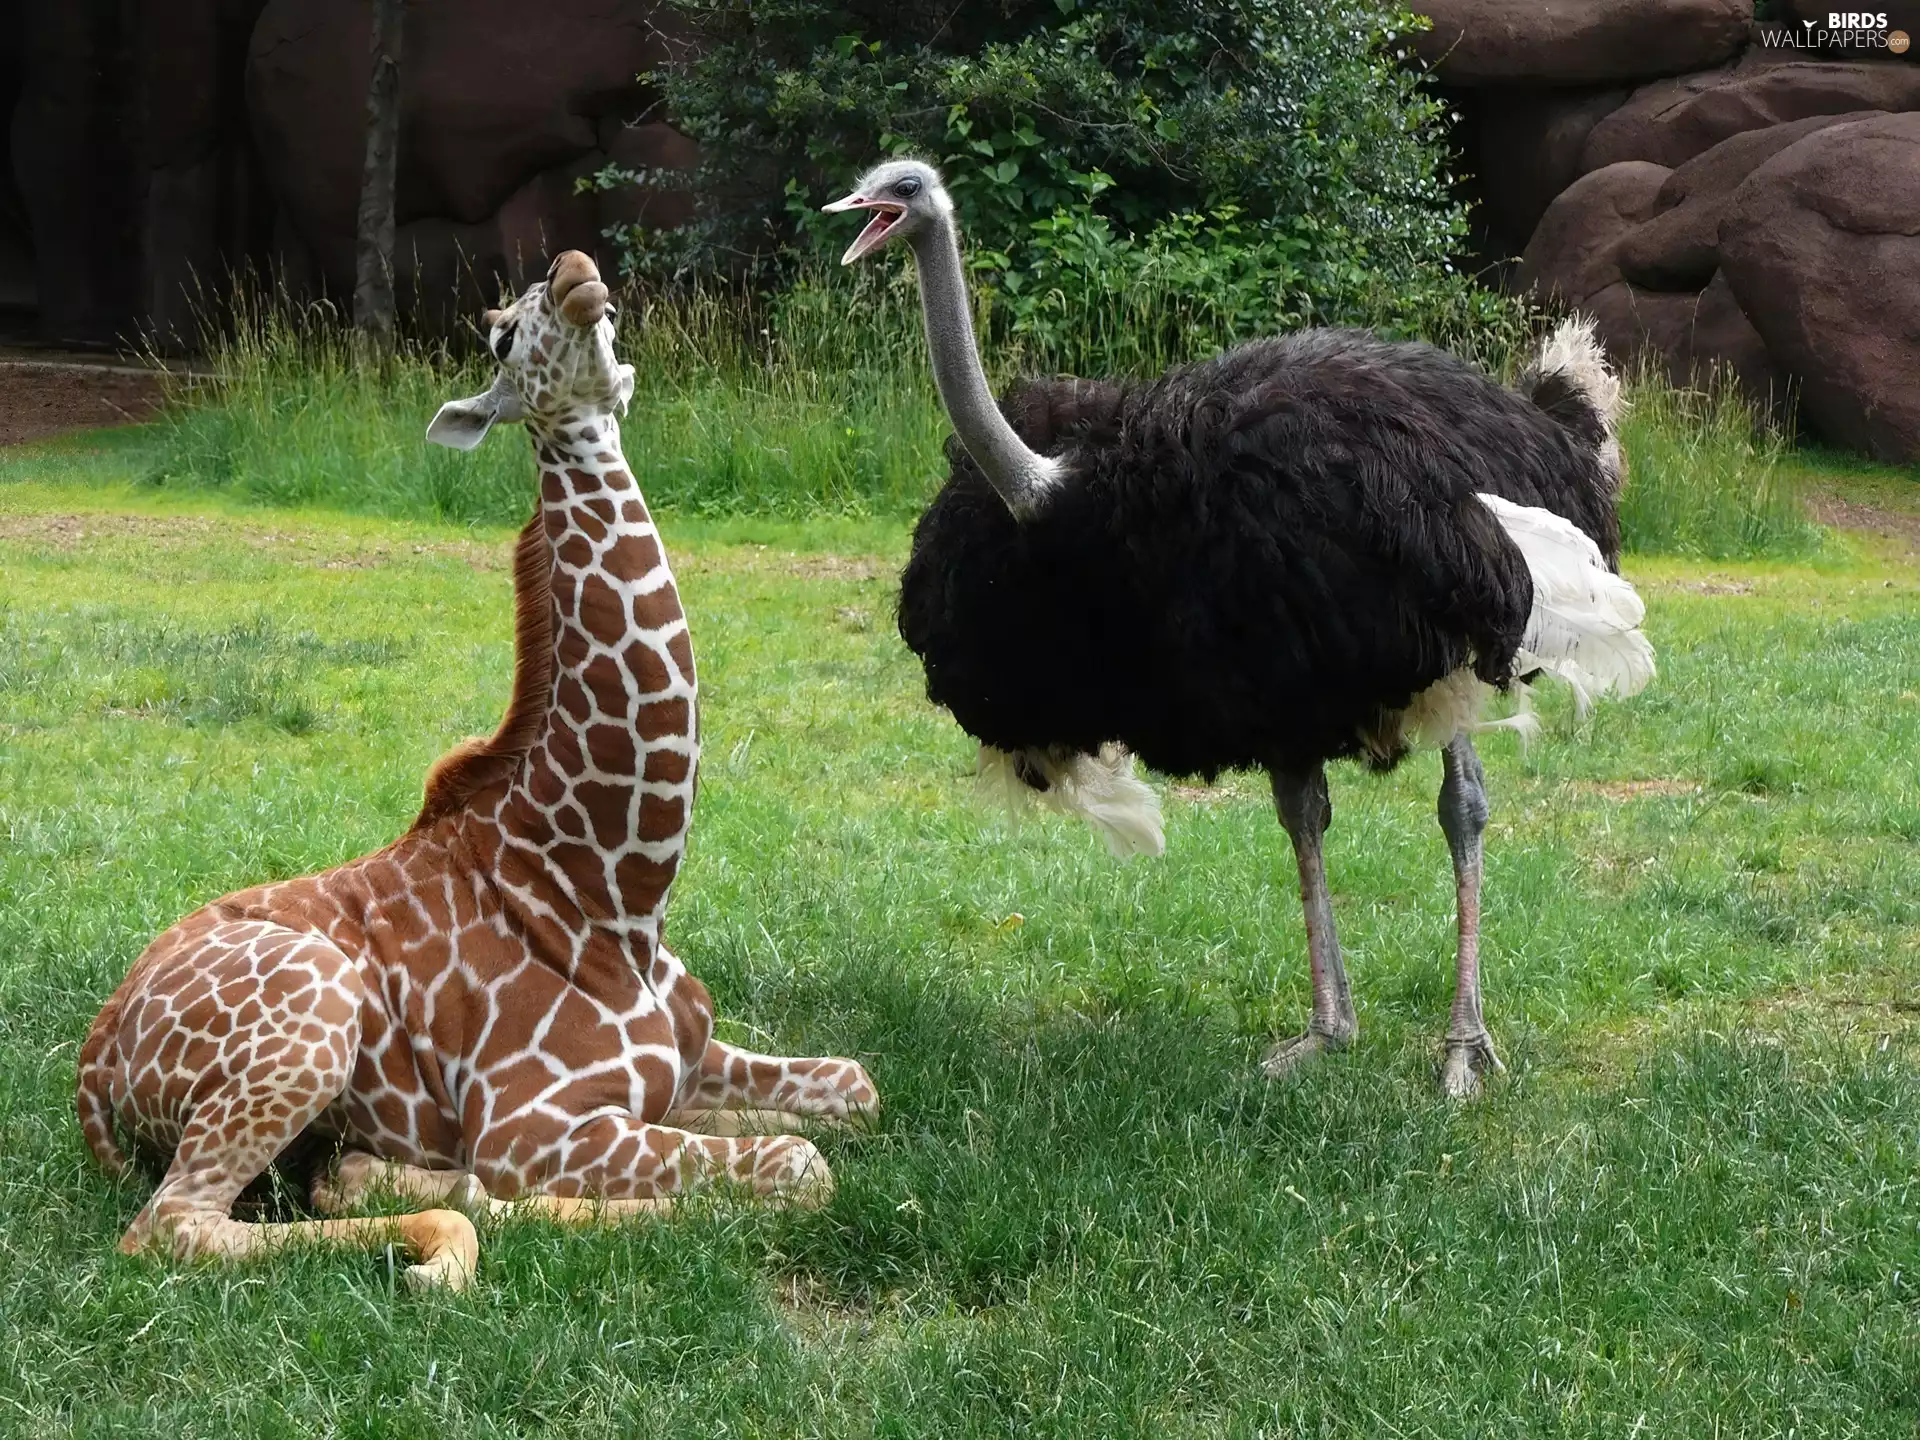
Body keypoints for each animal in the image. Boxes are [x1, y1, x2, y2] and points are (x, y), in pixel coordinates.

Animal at [75, 251, 879, 1290]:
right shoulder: (530, 1123)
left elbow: (855, 1087)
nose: (578, 274)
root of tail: (97, 1060)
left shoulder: (691, 1060)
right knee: (177, 1223)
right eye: (500, 336)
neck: (620, 891)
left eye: (605, 316)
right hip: (315, 1011)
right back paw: (436, 1232)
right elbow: (801, 1164)